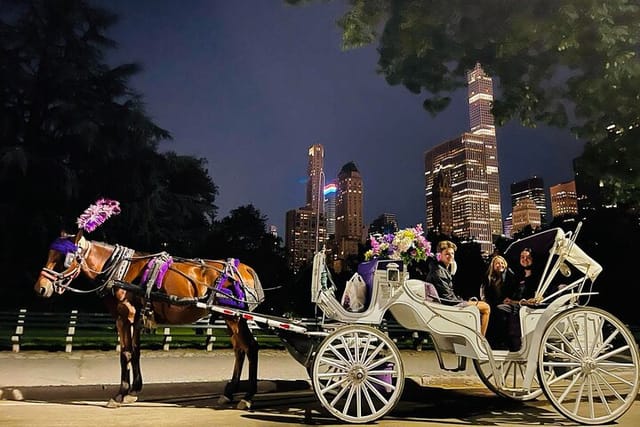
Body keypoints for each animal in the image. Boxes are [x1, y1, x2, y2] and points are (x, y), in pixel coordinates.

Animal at [33, 231, 264, 412]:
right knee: (240, 350)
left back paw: (247, 397)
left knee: (251, 347)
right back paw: (230, 392)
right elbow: (135, 351)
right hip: (231, 318)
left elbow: (125, 353)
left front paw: (120, 394)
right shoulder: (134, 319)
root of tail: (244, 267)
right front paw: (134, 390)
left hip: (234, 316)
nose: (40, 288)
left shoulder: (124, 316)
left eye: (64, 258)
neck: (119, 270)